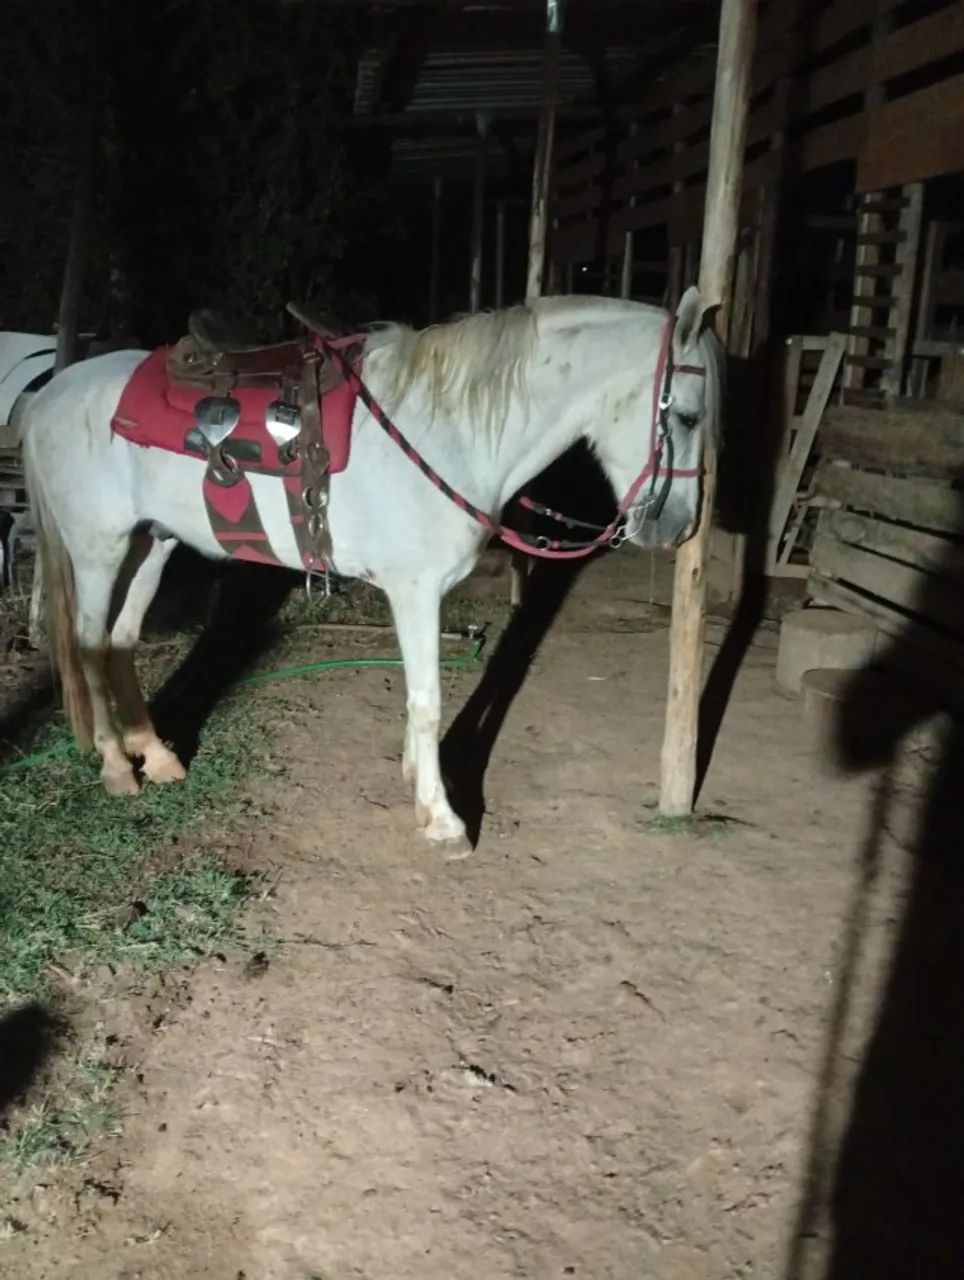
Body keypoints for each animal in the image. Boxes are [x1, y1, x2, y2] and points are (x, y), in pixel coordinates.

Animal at [20, 287, 721, 857]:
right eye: (688, 416)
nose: (678, 529)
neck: (450, 432)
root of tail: (50, 392)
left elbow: (420, 697)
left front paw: (418, 779)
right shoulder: (415, 590)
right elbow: (429, 700)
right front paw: (442, 820)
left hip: (152, 544)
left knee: (120, 643)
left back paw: (158, 756)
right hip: (99, 548)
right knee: (88, 646)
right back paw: (117, 768)